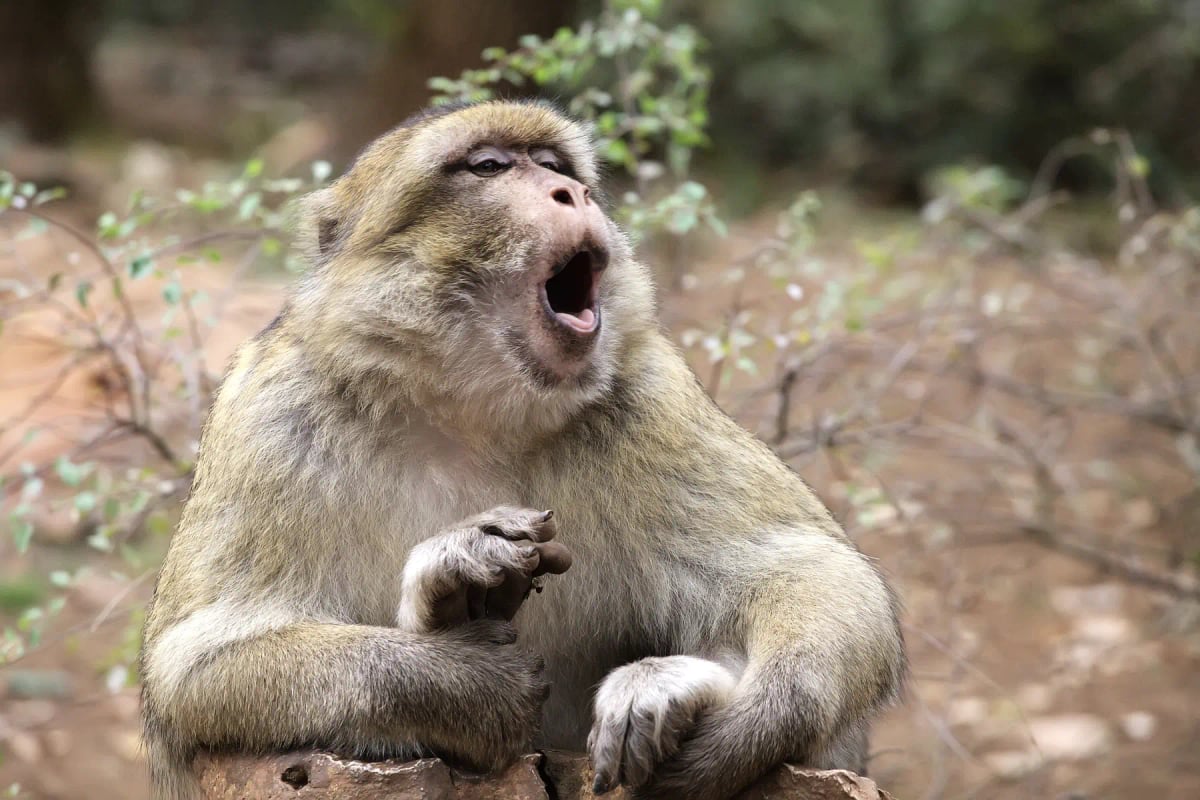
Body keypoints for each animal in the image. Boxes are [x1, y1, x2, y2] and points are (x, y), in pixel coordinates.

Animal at [140, 100, 906, 800]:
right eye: (489, 167)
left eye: (555, 166)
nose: (574, 195)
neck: (472, 412)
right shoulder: (271, 417)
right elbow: (197, 667)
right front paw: (458, 675)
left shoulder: (651, 397)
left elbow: (807, 568)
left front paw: (733, 713)